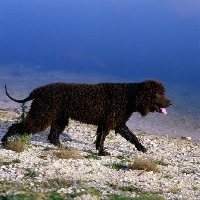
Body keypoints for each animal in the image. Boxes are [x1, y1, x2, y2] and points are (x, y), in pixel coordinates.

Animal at [1, 80, 172, 155]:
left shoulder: (118, 124)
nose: (170, 103)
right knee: (17, 126)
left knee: (53, 136)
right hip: (42, 114)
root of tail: (38, 91)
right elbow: (102, 139)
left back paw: (64, 148)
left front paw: (142, 148)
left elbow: (132, 137)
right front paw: (102, 152)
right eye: (157, 94)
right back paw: (5, 140)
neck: (128, 95)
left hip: (59, 118)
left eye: (162, 92)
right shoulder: (108, 123)